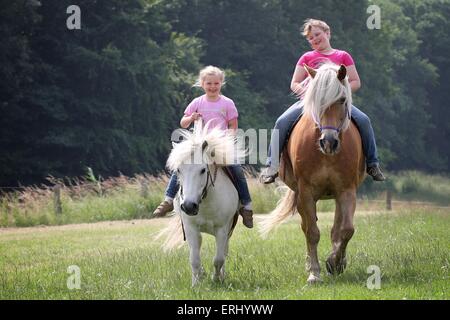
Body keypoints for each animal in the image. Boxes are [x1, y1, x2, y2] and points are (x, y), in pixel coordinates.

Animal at [156, 120, 246, 284]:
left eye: (203, 170)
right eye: (178, 170)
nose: (188, 206)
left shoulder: (222, 229)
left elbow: (218, 259)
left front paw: (216, 279)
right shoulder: (190, 228)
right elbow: (194, 259)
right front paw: (196, 282)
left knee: (224, 253)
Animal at [260, 63, 366, 284]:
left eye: (342, 100)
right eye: (317, 100)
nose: (329, 142)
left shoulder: (347, 190)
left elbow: (346, 230)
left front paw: (334, 262)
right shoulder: (306, 192)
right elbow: (312, 232)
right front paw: (315, 273)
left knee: (337, 228)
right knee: (306, 226)